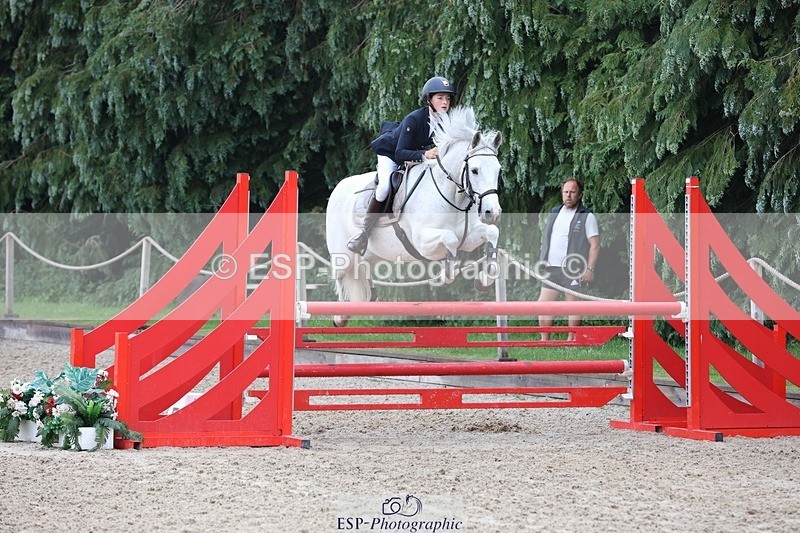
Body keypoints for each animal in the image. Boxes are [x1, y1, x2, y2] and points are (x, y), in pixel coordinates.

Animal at [325, 106, 503, 326]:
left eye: (498, 171)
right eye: (475, 170)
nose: (492, 212)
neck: (452, 196)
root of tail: (338, 188)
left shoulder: (468, 237)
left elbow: (491, 233)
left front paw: (485, 279)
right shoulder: (422, 242)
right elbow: (450, 239)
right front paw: (444, 276)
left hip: (372, 253)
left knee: (363, 268)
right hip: (343, 254)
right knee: (341, 276)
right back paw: (340, 317)